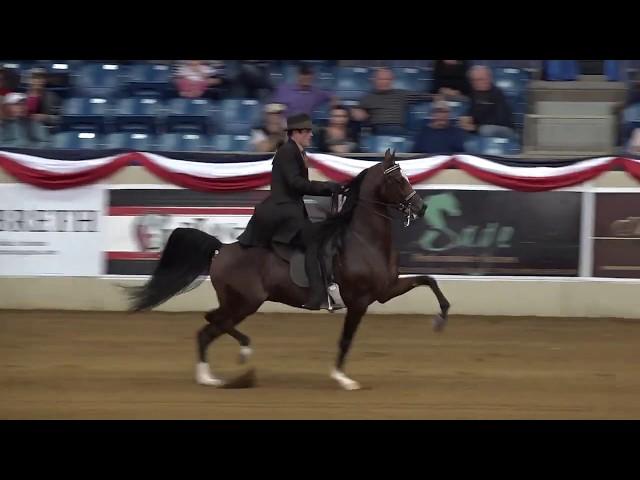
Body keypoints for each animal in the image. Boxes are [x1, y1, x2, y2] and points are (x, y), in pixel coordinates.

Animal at [127, 149, 450, 390]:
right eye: (397, 179)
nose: (421, 208)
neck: (363, 239)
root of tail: (222, 248)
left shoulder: (385, 290)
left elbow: (429, 279)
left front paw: (440, 320)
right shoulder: (359, 301)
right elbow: (346, 339)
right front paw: (342, 379)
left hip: (239, 303)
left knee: (208, 328)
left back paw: (210, 376)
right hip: (244, 302)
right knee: (212, 324)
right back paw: (238, 356)